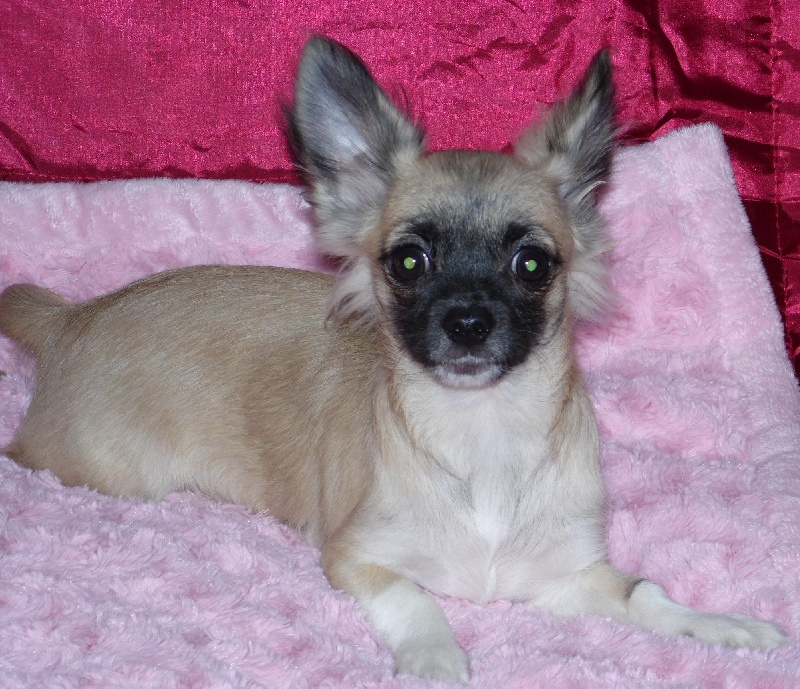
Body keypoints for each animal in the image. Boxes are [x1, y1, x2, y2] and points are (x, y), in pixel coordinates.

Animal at [0, 37, 785, 683]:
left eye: (532, 264)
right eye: (409, 261)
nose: (467, 320)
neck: (483, 435)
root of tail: (71, 319)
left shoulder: (566, 577)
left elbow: (646, 592)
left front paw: (722, 624)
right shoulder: (354, 557)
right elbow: (414, 597)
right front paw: (437, 658)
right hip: (103, 473)